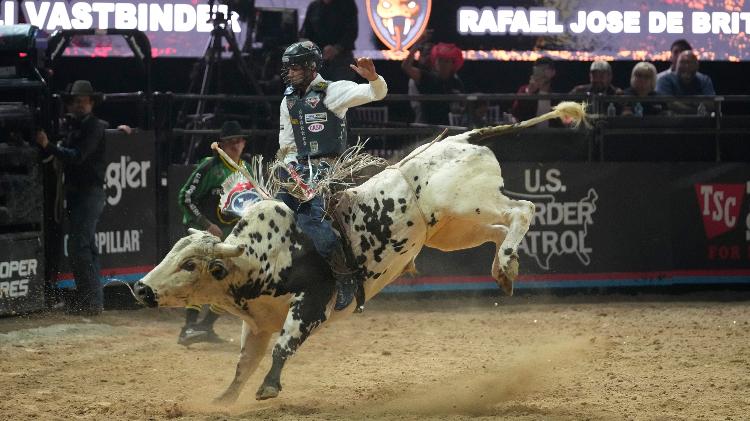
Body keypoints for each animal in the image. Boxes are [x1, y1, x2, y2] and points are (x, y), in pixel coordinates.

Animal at [132, 102, 584, 404]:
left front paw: (269, 388)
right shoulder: (257, 324)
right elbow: (245, 362)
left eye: (190, 264)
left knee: (522, 210)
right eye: (172, 255)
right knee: (500, 228)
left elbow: (284, 346)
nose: (140, 289)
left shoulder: (312, 303)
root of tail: (466, 136)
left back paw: (506, 262)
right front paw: (225, 400)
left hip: (466, 203)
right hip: (453, 228)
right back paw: (505, 268)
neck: (261, 255)